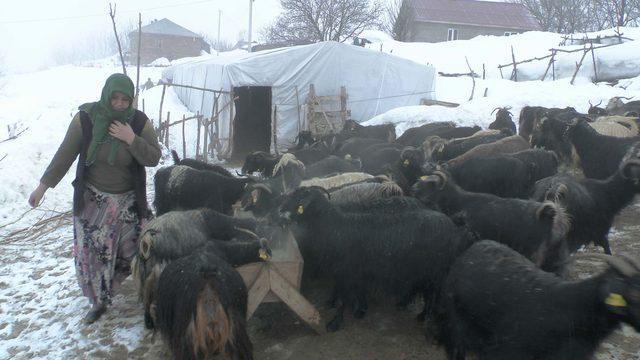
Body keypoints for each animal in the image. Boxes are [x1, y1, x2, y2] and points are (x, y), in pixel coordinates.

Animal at [278, 187, 470, 330]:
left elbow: (343, 298)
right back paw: (403, 303)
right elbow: (354, 291)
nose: (279, 211)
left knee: (431, 293)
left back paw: (423, 315)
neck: (334, 225)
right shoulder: (355, 271)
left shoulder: (346, 270)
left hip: (434, 270)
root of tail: (449, 221)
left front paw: (335, 322)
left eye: (299, 199)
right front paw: (359, 310)